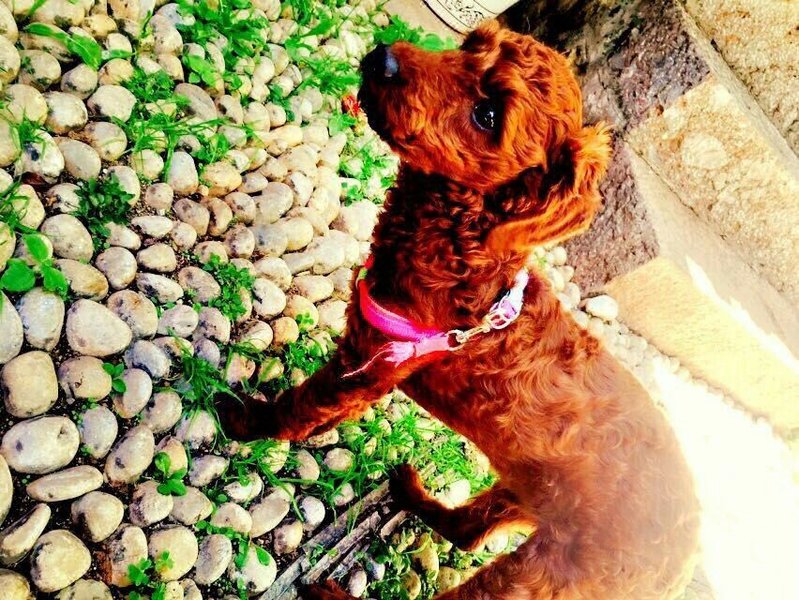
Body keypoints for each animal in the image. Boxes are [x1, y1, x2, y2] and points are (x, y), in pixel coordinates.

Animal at [220, 20, 700, 599]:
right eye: (470, 44)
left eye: (488, 115)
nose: (381, 58)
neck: (462, 246)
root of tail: (681, 569)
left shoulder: (371, 363)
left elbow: (302, 409)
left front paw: (242, 421)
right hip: (527, 491)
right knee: (469, 532)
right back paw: (410, 495)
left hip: (537, 577)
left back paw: (329, 590)